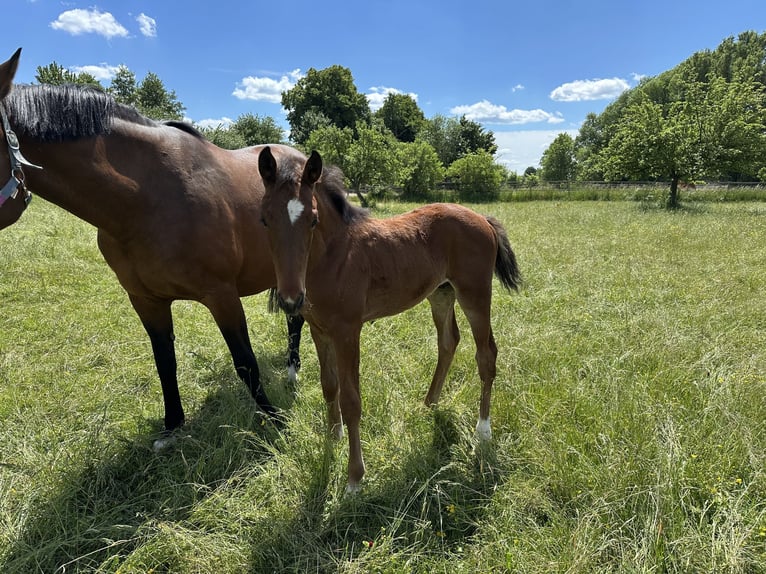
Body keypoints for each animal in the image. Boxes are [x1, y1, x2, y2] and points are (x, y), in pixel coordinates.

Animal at [0, 48, 304, 442]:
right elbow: (164, 362)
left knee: (297, 318)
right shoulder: (146, 299)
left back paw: (293, 371)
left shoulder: (222, 295)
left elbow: (245, 362)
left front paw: (274, 421)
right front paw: (172, 425)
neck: (146, 199)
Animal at [257, 145, 521, 492]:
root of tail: (483, 219)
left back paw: (483, 431)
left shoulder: (347, 331)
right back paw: (429, 403)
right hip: (441, 294)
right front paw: (332, 437)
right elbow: (329, 386)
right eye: (265, 219)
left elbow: (351, 400)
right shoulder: (318, 329)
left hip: (475, 294)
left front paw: (354, 478)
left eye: (313, 220)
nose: (290, 299)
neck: (334, 256)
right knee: (448, 341)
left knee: (486, 354)